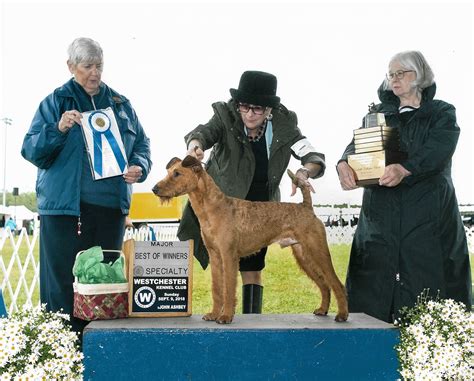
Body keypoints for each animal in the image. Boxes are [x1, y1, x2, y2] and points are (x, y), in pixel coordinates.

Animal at [152, 156, 348, 322]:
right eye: (169, 172)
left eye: (177, 173)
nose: (154, 189)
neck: (211, 209)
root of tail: (306, 206)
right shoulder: (215, 256)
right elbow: (217, 289)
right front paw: (214, 314)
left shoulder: (229, 255)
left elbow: (228, 288)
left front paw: (225, 317)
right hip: (303, 255)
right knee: (324, 284)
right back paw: (322, 310)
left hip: (318, 251)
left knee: (336, 283)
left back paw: (342, 315)